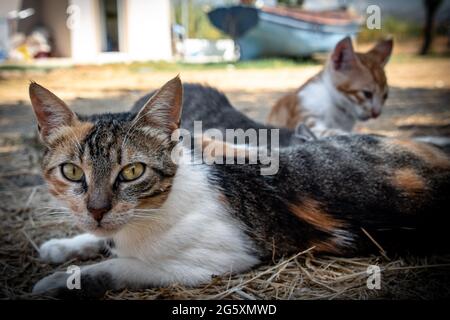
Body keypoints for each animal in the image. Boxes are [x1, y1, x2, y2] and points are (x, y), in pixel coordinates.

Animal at [30, 75, 450, 298]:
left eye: (132, 171)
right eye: (72, 172)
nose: (97, 209)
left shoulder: (215, 260)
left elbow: (123, 266)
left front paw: (59, 281)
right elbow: (100, 240)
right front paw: (62, 246)